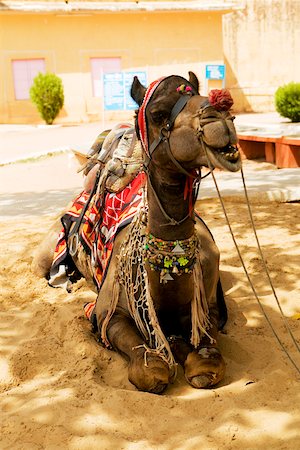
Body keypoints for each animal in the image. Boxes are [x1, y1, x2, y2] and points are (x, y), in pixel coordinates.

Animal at [31, 71, 240, 394]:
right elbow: (150, 369)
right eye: (158, 113)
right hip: (46, 252)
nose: (220, 117)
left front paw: (183, 347)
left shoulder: (209, 307)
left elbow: (207, 364)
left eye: (195, 94)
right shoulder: (108, 314)